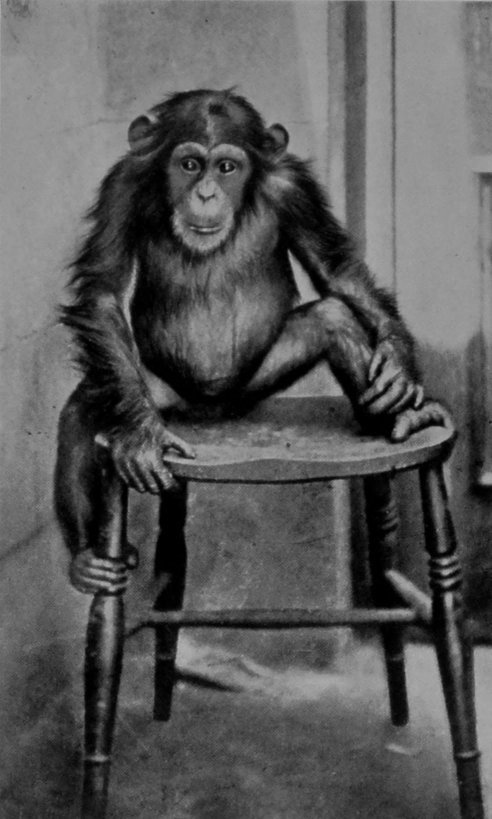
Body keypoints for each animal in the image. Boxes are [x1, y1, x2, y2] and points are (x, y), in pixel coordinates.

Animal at [55, 88, 451, 594]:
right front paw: (143, 437)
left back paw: (405, 418)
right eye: (189, 164)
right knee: (84, 408)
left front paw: (399, 362)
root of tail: (212, 412)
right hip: (161, 394)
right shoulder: (121, 186)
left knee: (335, 318)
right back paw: (88, 558)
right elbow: (105, 292)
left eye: (227, 167)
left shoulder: (294, 188)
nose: (206, 193)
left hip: (255, 381)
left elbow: (335, 269)